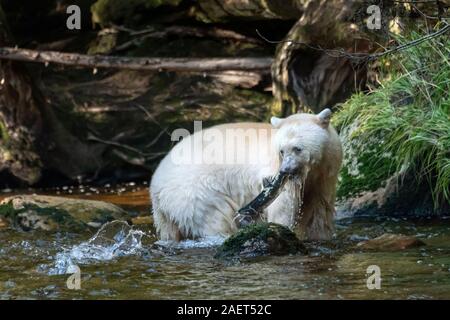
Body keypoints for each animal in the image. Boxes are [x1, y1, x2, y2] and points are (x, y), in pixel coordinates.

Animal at [149, 109, 342, 241]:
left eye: (297, 148)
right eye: (281, 151)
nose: (285, 170)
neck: (312, 169)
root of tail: (155, 185)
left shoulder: (325, 173)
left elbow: (319, 207)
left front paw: (319, 235)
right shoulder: (275, 171)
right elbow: (283, 206)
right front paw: (283, 229)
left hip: (168, 213)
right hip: (196, 192)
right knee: (216, 219)